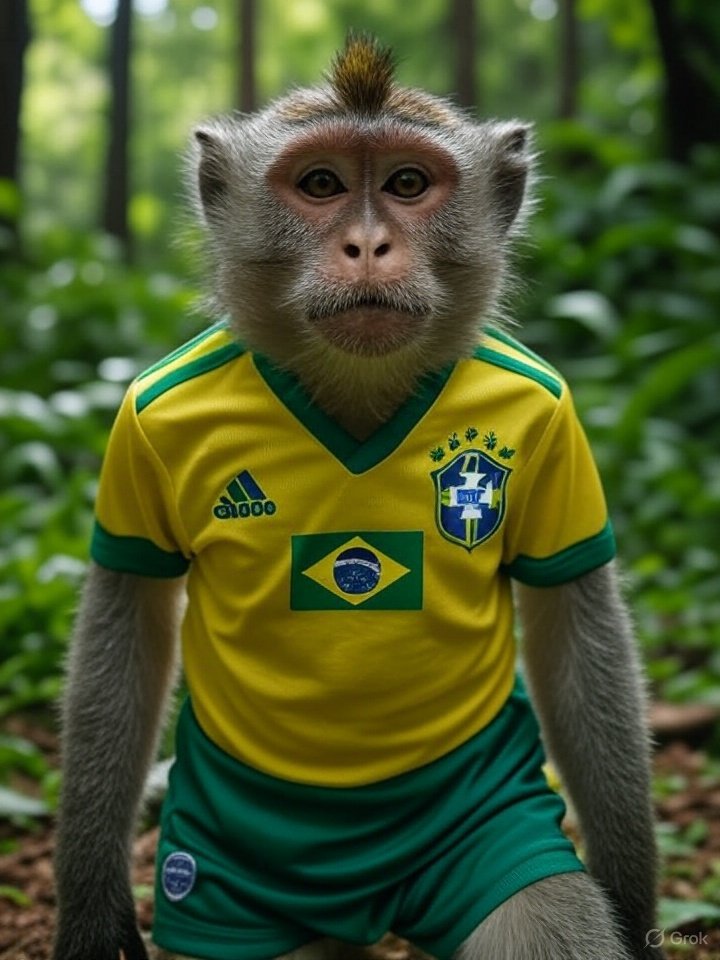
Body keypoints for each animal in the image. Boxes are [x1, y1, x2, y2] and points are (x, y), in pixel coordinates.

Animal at [53, 34, 664, 960]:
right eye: (320, 185)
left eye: (407, 184)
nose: (368, 246)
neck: (357, 390)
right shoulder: (142, 424)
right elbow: (127, 619)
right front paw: (89, 902)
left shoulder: (554, 419)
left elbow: (572, 621)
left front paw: (631, 893)